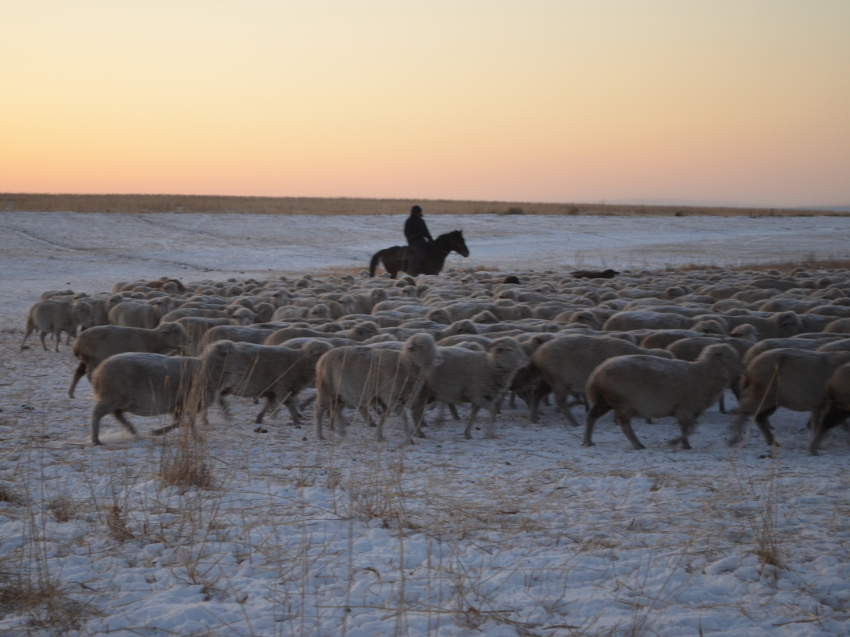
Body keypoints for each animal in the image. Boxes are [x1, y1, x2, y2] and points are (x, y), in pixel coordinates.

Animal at [202, 340, 332, 424]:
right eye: (324, 352)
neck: (298, 363)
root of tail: (213, 348)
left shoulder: (271, 389)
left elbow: (267, 405)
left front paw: (259, 419)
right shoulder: (281, 387)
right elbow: (289, 404)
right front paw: (297, 421)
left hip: (219, 385)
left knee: (218, 399)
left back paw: (226, 416)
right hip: (213, 382)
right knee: (208, 401)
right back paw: (208, 419)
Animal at [314, 332, 444, 442]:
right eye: (423, 346)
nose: (439, 358)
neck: (406, 363)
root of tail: (323, 357)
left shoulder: (389, 401)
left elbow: (383, 418)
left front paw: (379, 436)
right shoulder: (390, 398)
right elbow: (403, 416)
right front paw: (408, 439)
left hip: (341, 395)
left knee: (336, 411)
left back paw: (342, 433)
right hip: (326, 389)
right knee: (319, 409)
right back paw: (320, 435)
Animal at [584, 342, 744, 448]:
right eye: (730, 356)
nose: (743, 368)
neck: (705, 374)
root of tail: (596, 375)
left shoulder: (691, 411)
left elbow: (690, 428)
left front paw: (683, 444)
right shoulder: (684, 409)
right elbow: (689, 428)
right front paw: (677, 443)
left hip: (604, 400)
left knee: (591, 417)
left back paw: (587, 441)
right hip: (621, 401)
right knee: (624, 425)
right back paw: (637, 444)